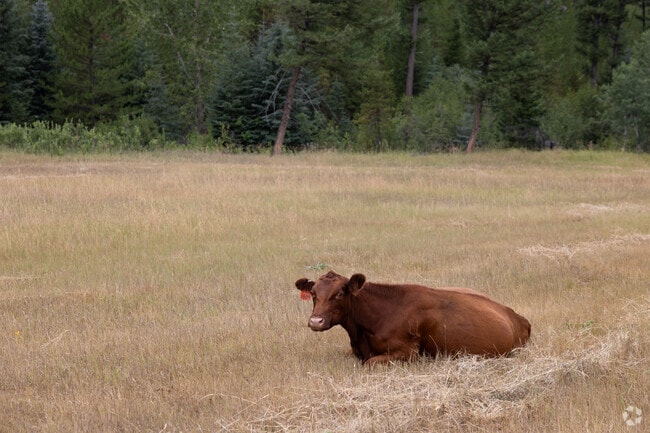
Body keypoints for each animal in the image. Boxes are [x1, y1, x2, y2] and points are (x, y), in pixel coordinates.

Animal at [295, 271, 531, 365]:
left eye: (340, 293)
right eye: (313, 293)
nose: (316, 321)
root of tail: (517, 316)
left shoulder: (409, 352)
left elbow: (370, 363)